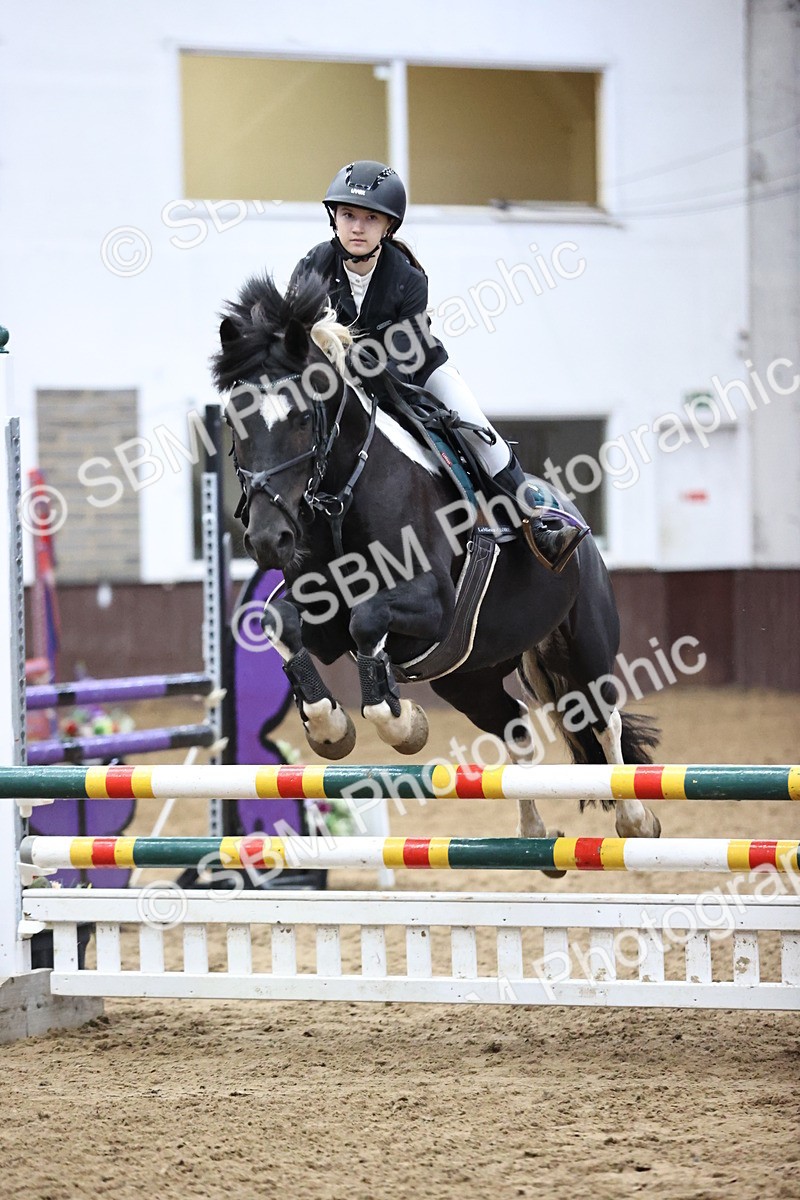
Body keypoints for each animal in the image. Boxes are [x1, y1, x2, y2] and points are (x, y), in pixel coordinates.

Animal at [212, 271, 661, 845]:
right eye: (232, 420)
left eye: (302, 417)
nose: (269, 540)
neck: (343, 498)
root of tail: (566, 509)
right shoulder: (323, 616)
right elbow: (285, 620)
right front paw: (332, 727)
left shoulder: (434, 607)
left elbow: (368, 620)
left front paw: (404, 724)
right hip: (467, 675)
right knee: (515, 726)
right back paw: (533, 830)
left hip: (584, 644)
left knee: (603, 720)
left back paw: (636, 819)